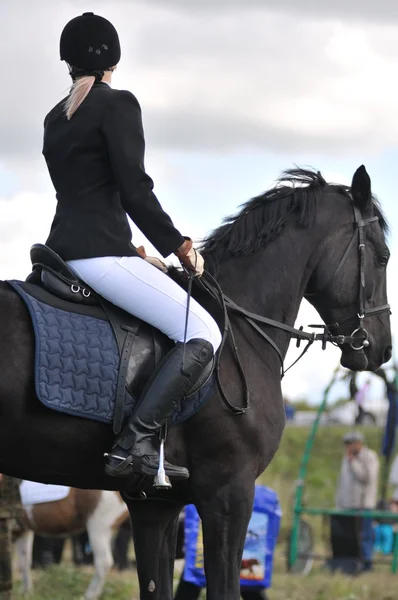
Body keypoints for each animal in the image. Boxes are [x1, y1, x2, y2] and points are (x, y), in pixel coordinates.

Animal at [0, 165, 390, 600]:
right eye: (383, 257)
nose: (382, 348)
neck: (242, 330)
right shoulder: (229, 494)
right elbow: (225, 588)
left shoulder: (155, 505)